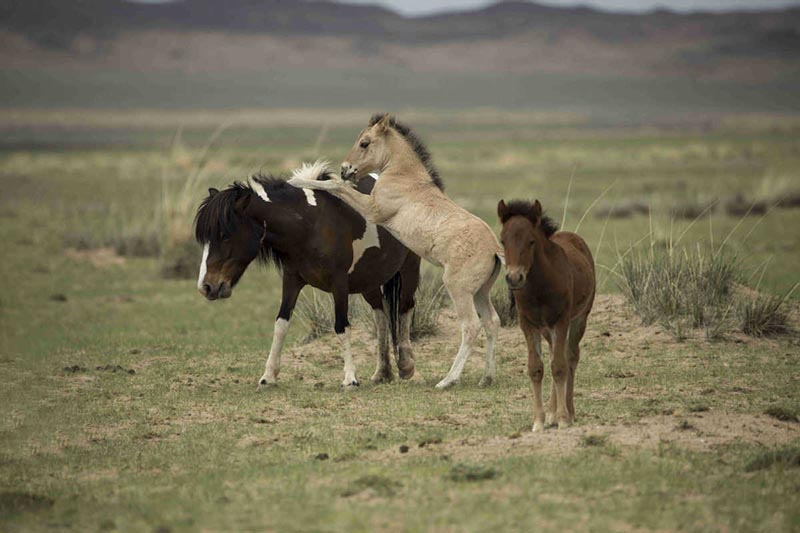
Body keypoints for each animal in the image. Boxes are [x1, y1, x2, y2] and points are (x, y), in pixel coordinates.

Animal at [195, 160, 418, 388]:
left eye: (225, 235)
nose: (206, 286)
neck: (310, 224)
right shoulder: (291, 281)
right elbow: (281, 324)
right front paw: (268, 376)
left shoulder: (339, 284)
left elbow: (341, 326)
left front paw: (350, 378)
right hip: (369, 280)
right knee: (381, 316)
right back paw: (383, 371)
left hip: (409, 269)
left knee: (405, 308)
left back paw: (406, 365)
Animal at [500, 197, 592, 430]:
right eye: (503, 240)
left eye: (531, 241)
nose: (514, 278)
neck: (540, 287)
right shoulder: (527, 323)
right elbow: (537, 368)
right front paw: (539, 421)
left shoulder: (561, 321)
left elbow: (559, 367)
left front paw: (563, 420)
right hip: (546, 329)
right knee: (555, 354)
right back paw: (552, 412)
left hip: (579, 320)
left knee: (570, 357)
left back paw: (569, 411)